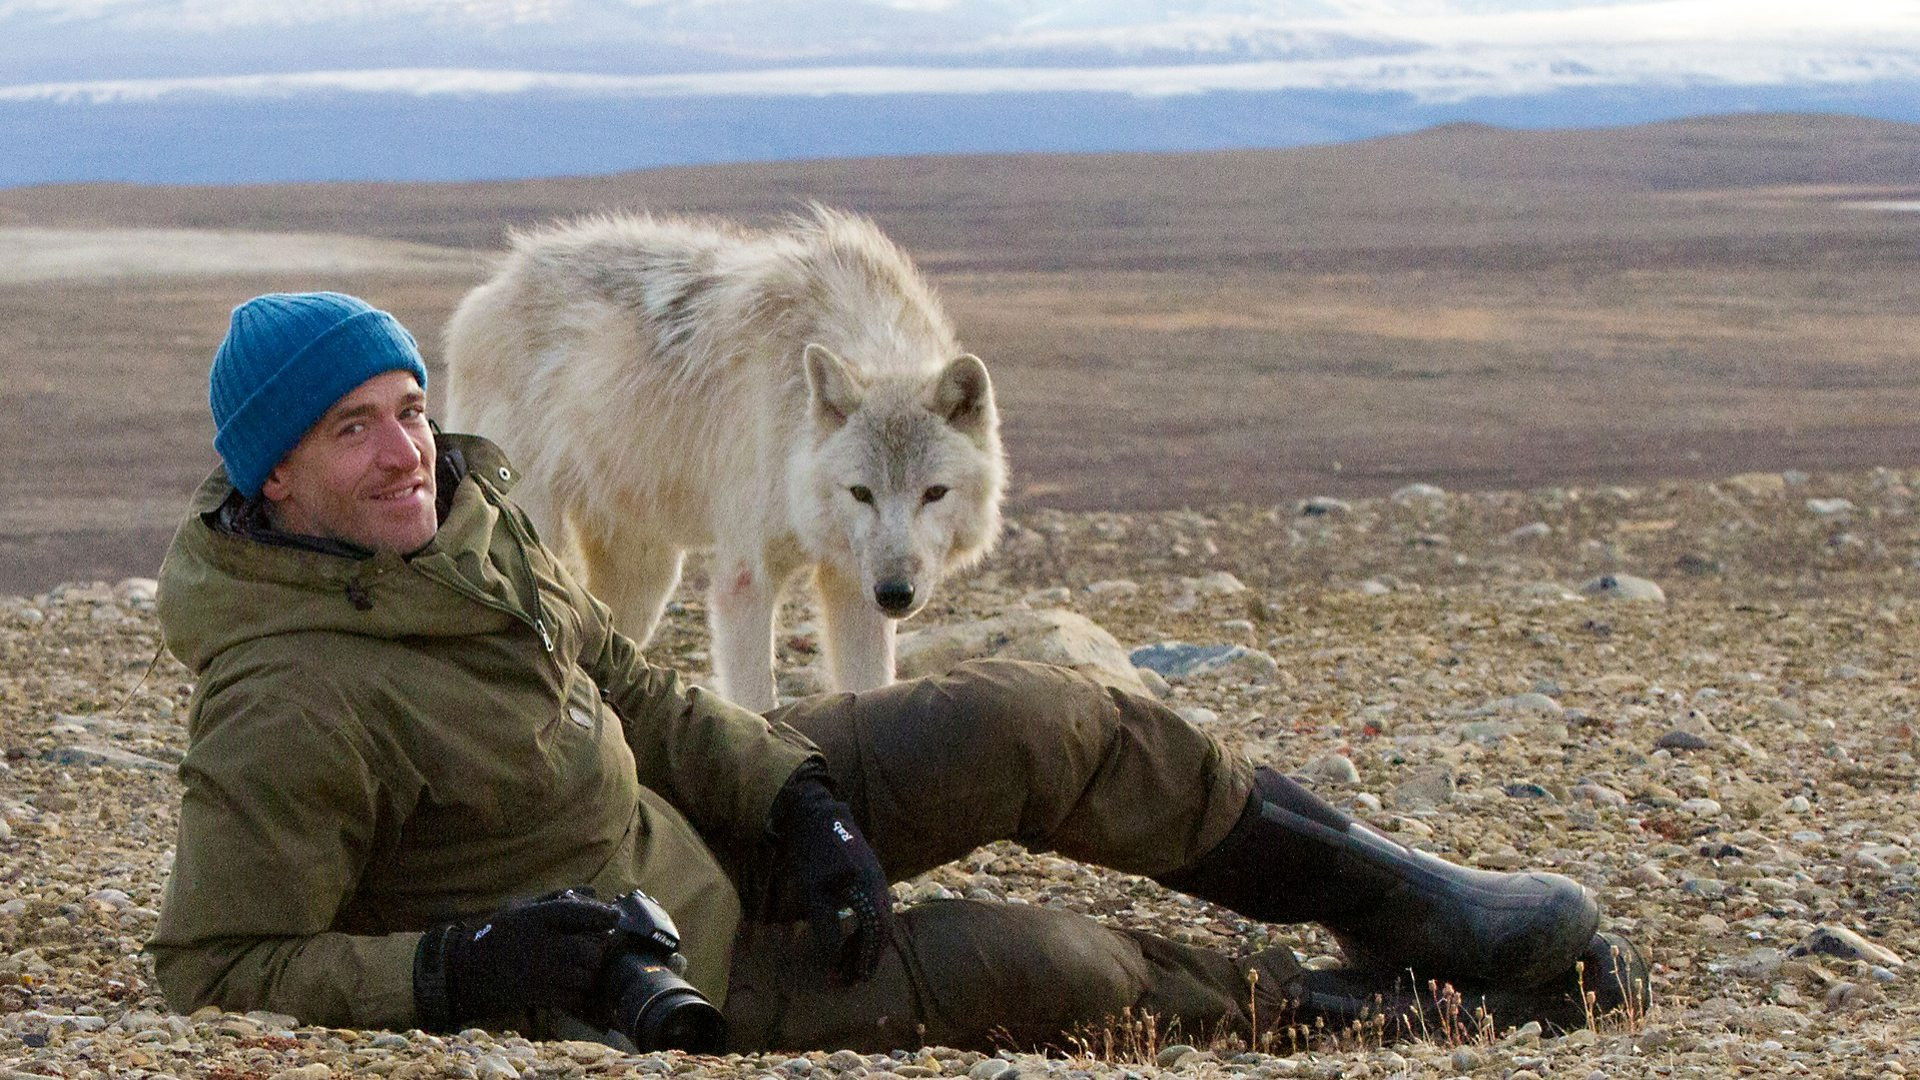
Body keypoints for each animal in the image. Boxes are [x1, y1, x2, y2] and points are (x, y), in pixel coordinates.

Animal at [441, 206, 1006, 711]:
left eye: (934, 493)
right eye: (861, 492)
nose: (895, 593)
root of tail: (490, 288)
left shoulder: (851, 585)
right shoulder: (745, 579)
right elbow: (758, 703)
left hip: (646, 578)